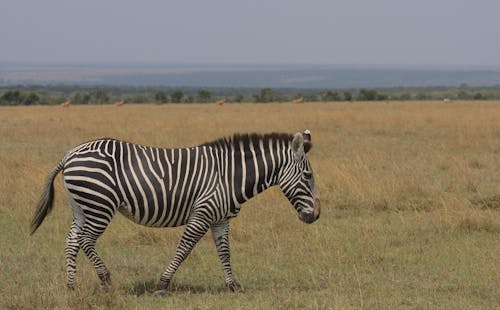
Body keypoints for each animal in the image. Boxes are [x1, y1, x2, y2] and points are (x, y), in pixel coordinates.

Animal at [31, 130, 320, 294]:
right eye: (308, 176)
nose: (315, 216)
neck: (229, 176)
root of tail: (69, 154)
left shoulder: (220, 219)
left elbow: (224, 252)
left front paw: (233, 286)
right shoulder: (202, 213)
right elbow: (184, 249)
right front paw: (162, 285)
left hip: (82, 207)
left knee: (72, 241)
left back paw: (71, 286)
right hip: (100, 205)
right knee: (86, 240)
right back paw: (106, 281)